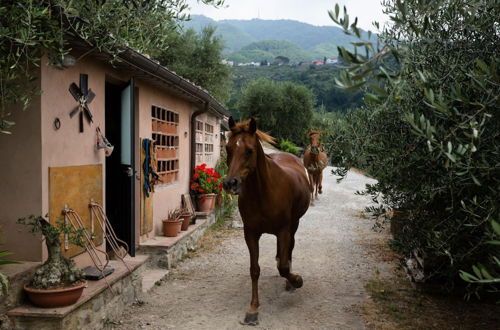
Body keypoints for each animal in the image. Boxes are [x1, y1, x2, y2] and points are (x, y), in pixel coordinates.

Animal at [224, 116, 310, 324]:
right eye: (228, 148)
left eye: (249, 150)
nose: (230, 183)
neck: (263, 193)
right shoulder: (251, 233)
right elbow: (255, 269)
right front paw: (253, 308)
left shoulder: (283, 230)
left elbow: (284, 266)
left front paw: (297, 280)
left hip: (294, 225)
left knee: (290, 250)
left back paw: (290, 282)